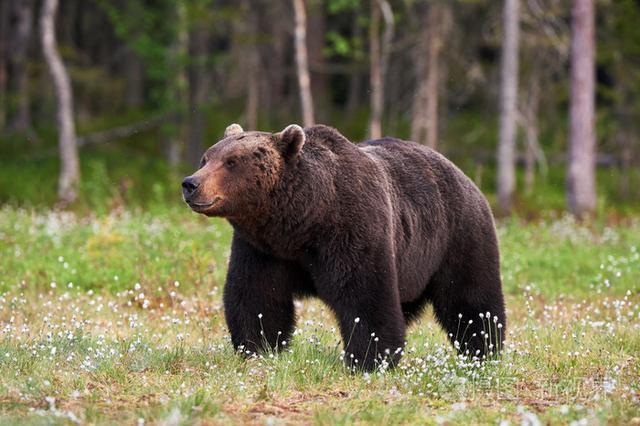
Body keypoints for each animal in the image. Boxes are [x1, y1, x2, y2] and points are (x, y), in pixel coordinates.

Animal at [182, 123, 508, 370]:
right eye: (206, 158)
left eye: (232, 162)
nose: (190, 184)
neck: (303, 220)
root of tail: (466, 177)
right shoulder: (263, 248)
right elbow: (256, 295)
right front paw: (257, 346)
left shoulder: (351, 229)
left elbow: (364, 294)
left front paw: (369, 359)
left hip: (458, 236)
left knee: (471, 298)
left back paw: (483, 349)